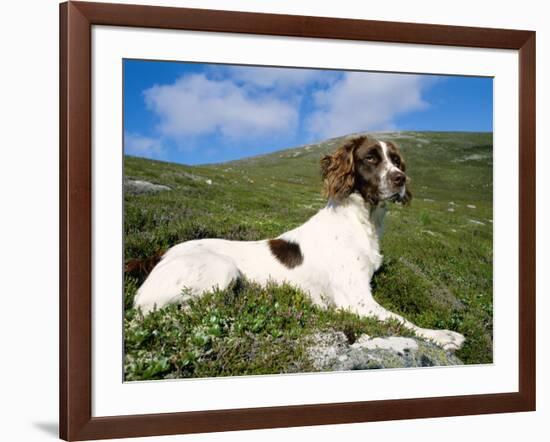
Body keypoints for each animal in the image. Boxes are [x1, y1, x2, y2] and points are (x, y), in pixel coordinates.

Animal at [133, 136, 466, 350]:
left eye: (396, 160)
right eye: (371, 158)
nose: (400, 179)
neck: (361, 221)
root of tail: (159, 255)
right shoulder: (355, 300)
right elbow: (401, 319)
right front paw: (444, 336)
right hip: (221, 269)